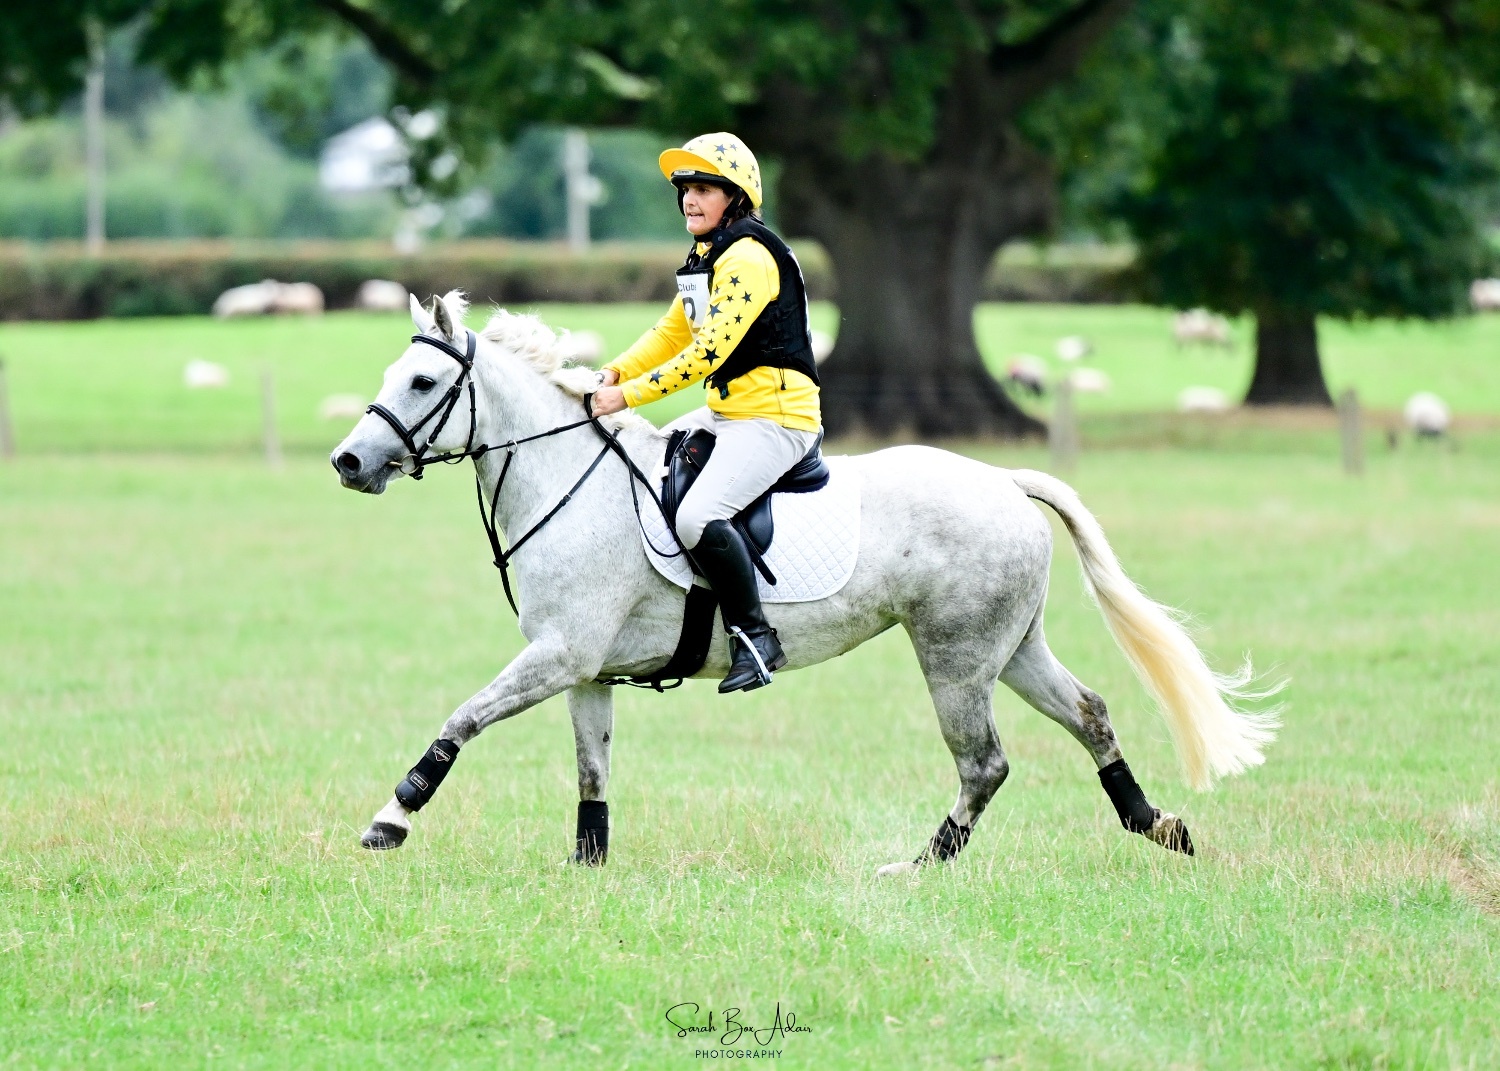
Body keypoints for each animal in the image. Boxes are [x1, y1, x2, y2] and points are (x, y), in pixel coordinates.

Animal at [330, 292, 1279, 874]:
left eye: (421, 381)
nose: (348, 462)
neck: (569, 479)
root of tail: (1005, 481)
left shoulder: (559, 655)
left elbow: (459, 722)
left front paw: (390, 818)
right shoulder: (586, 670)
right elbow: (591, 773)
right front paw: (587, 863)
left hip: (956, 660)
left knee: (985, 763)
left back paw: (919, 865)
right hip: (1010, 649)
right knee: (1089, 713)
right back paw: (1154, 823)